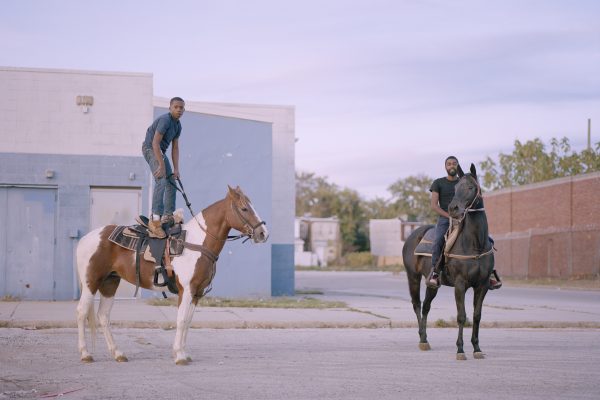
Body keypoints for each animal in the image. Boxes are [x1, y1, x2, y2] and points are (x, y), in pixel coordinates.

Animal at [75, 186, 268, 364]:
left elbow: (188, 321)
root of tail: (85, 239)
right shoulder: (187, 289)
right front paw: (180, 356)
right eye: (244, 208)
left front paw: (183, 353)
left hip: (110, 282)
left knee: (103, 316)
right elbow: (181, 320)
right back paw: (85, 354)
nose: (263, 233)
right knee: (82, 312)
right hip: (91, 282)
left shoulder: (197, 292)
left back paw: (118, 353)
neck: (197, 243)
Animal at [400, 164, 494, 360]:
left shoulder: (482, 285)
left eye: (470, 187)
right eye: (456, 188)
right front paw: (460, 350)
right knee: (417, 304)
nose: (453, 208)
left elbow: (477, 315)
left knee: (426, 306)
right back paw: (422, 339)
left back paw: (425, 338)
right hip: (412, 277)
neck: (475, 244)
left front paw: (477, 348)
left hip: (432, 284)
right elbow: (461, 316)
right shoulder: (460, 284)